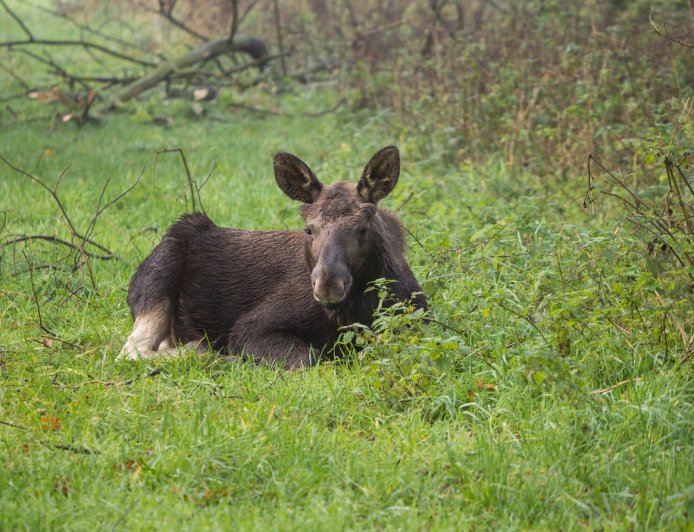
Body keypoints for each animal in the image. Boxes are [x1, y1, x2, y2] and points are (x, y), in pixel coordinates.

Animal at [118, 145, 426, 368]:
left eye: (363, 228)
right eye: (308, 228)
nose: (327, 285)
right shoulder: (251, 328)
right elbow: (310, 357)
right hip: (157, 284)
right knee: (132, 350)